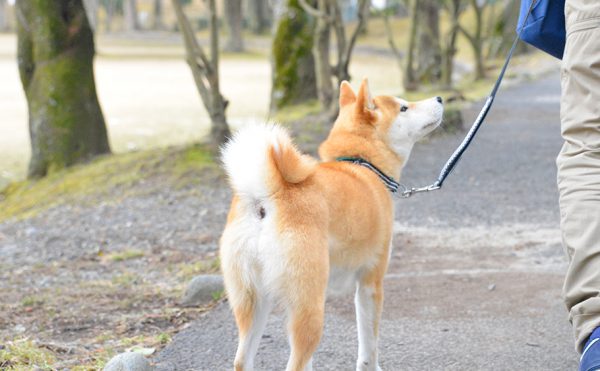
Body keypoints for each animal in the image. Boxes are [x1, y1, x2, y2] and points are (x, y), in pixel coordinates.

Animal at [219, 79, 440, 371]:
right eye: (404, 107)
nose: (439, 98)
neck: (362, 163)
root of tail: (267, 196)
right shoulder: (371, 282)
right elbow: (369, 347)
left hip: (256, 302)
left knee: (243, 361)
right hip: (309, 308)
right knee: (296, 362)